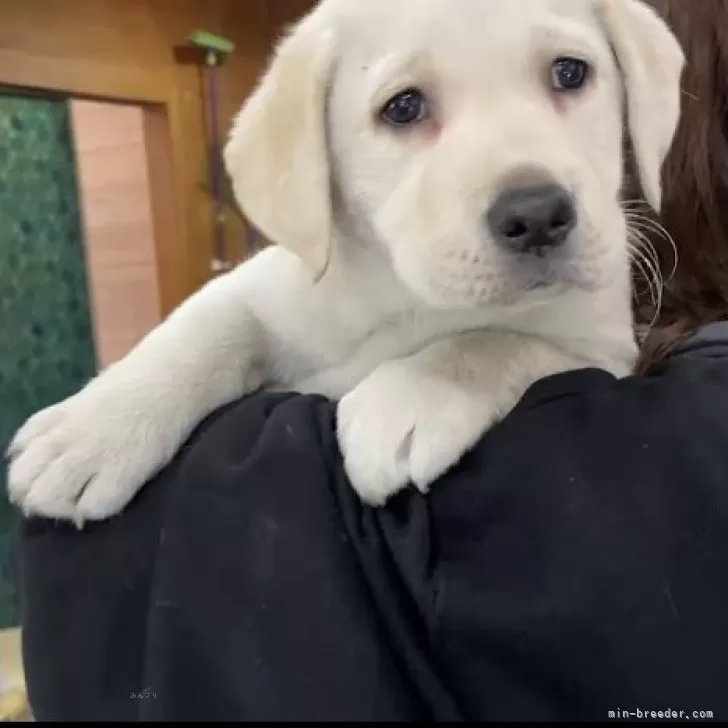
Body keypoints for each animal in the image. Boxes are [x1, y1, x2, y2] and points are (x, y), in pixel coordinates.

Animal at [8, 0, 684, 524]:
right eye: (403, 108)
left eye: (570, 72)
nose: (539, 214)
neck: (403, 297)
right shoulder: (266, 285)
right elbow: (204, 327)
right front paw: (91, 430)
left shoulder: (603, 349)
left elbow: (494, 340)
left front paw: (412, 396)